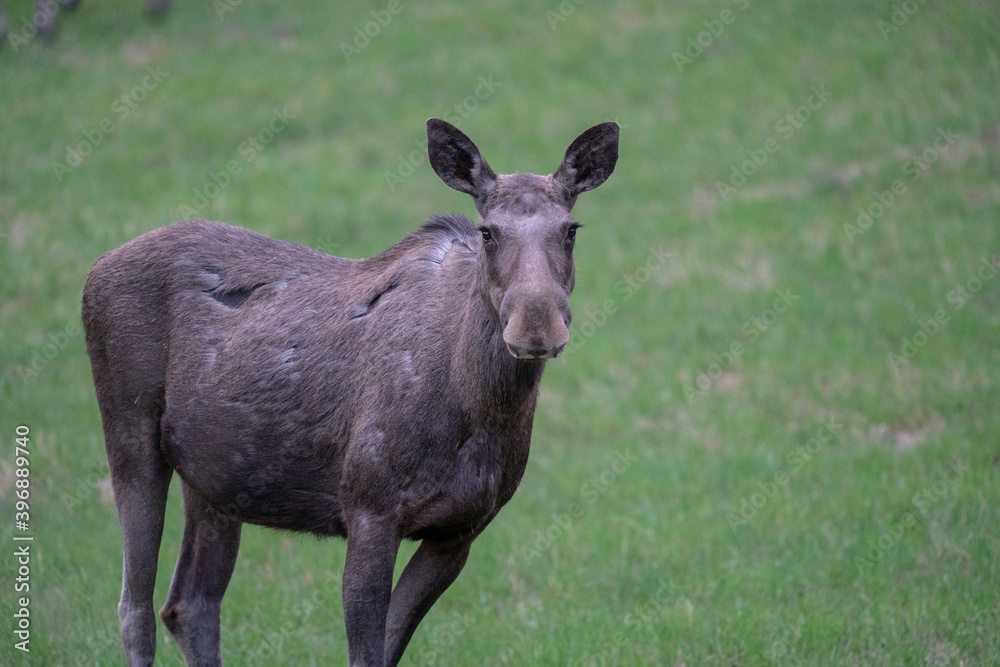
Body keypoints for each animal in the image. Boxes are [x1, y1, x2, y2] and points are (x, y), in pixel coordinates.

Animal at [84, 117, 616, 664]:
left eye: (570, 230)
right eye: (487, 231)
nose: (536, 326)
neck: (481, 411)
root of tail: (97, 267)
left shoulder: (458, 533)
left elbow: (388, 646)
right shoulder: (369, 510)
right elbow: (364, 652)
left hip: (215, 479)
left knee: (189, 604)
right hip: (130, 435)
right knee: (135, 607)